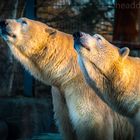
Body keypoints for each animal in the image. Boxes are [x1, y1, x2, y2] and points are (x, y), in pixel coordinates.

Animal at [0, 17, 133, 140]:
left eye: (24, 22)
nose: (4, 22)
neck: (69, 69)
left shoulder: (85, 89)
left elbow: (92, 123)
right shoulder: (60, 91)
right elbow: (67, 125)